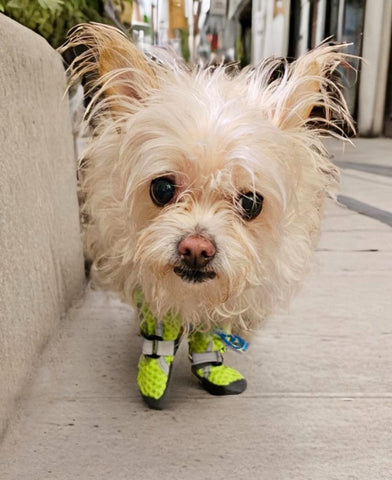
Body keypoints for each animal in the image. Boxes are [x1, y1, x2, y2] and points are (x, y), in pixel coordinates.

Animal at [60, 25, 352, 408]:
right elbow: (160, 322)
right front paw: (154, 373)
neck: (192, 297)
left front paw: (213, 365)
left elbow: (211, 329)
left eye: (250, 203)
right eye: (163, 189)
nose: (196, 249)